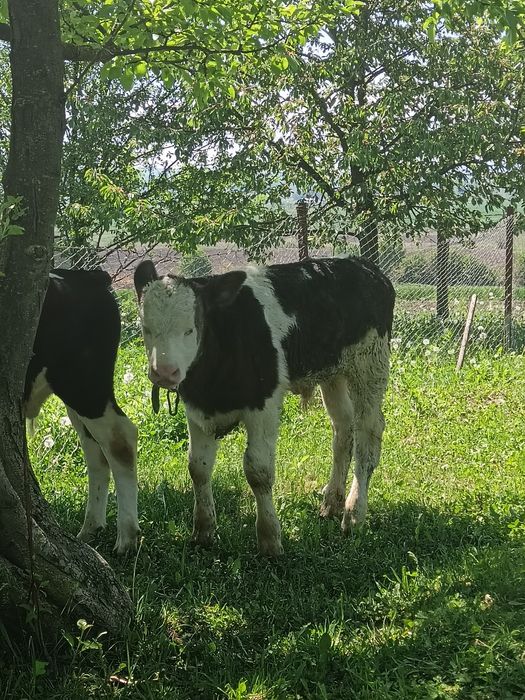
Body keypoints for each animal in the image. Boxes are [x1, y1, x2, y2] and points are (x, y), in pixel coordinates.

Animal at [134, 255, 395, 556]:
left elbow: (258, 471)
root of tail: (363, 265)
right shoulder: (197, 409)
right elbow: (197, 468)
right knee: (343, 430)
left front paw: (269, 538)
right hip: (334, 374)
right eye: (146, 328)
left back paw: (353, 514)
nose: (164, 373)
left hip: (369, 366)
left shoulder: (264, 405)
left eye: (190, 329)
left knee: (367, 437)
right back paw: (332, 501)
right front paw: (203, 531)